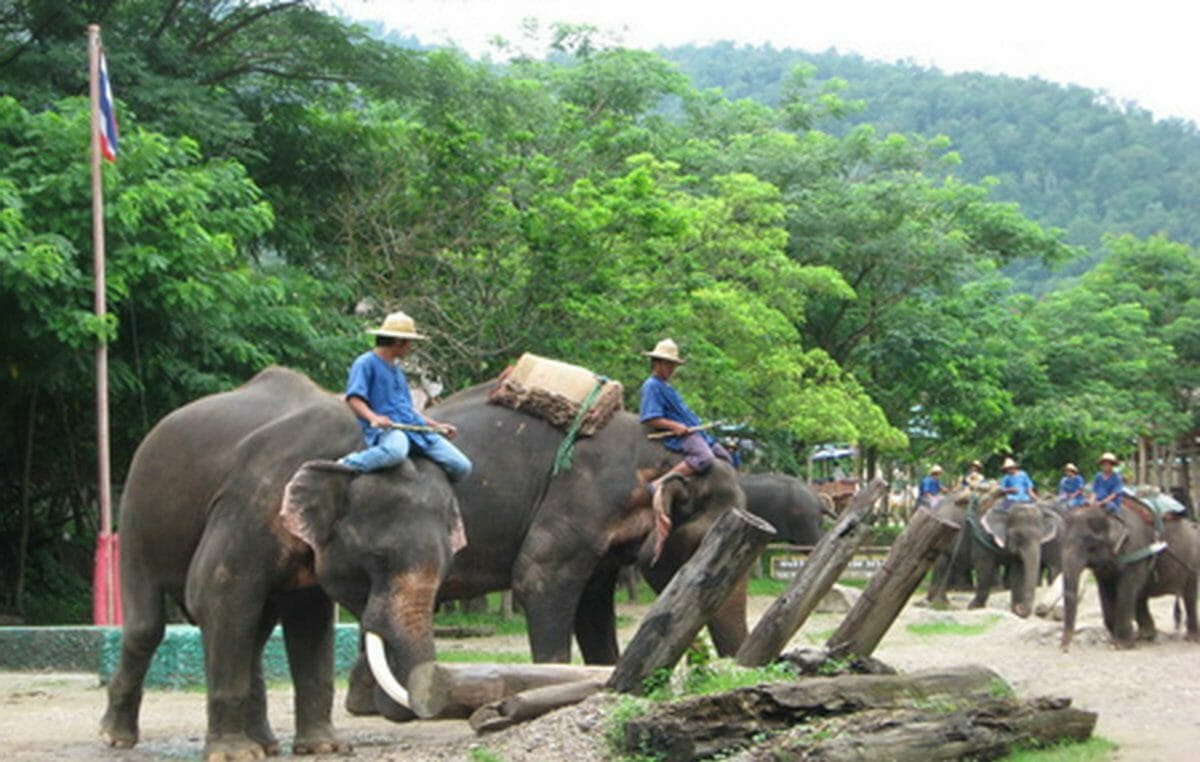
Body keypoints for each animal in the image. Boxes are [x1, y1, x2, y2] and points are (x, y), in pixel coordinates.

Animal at [99, 367, 463, 758]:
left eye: (448, 566)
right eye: (378, 558)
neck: (356, 447)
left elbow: (309, 620)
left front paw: (324, 748)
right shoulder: (250, 504)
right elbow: (216, 594)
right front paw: (233, 756)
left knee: (255, 632)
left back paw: (266, 744)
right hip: (136, 514)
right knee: (148, 625)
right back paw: (116, 738)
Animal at [1060, 501, 1200, 648]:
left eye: (1090, 547)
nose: (1064, 648)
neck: (1111, 515)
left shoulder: (1135, 552)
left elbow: (1126, 590)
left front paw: (1122, 645)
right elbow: (1106, 591)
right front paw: (1116, 640)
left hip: (1193, 561)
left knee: (1189, 596)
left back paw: (1191, 639)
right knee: (1141, 597)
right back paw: (1146, 636)